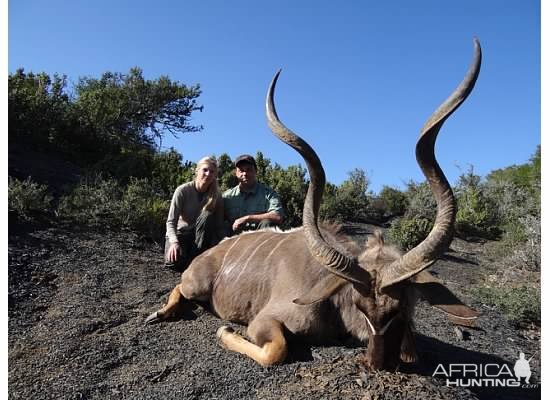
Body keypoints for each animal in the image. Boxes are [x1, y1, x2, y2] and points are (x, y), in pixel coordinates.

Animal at [147, 39, 484, 370]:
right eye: (359, 305)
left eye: (399, 307)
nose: (376, 362)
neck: (334, 302)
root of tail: (210, 252)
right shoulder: (263, 322)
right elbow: (276, 350)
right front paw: (224, 330)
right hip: (197, 285)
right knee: (180, 287)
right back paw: (160, 312)